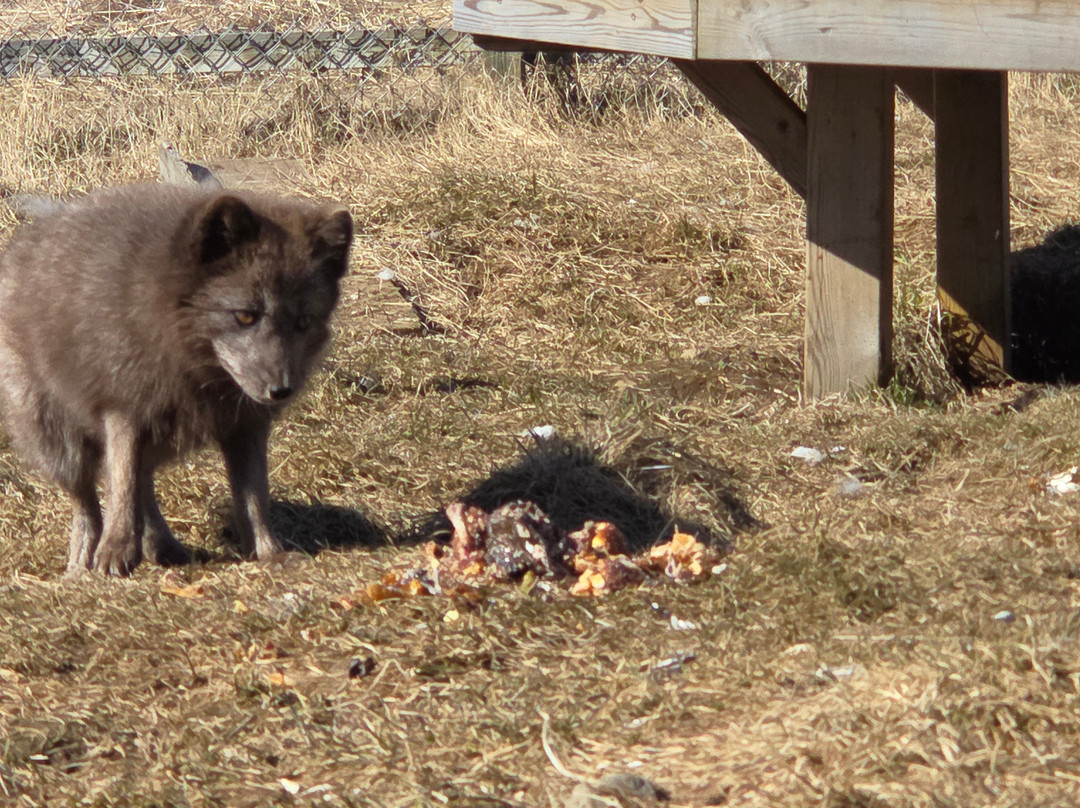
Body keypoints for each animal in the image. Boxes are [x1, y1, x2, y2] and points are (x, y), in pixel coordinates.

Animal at [0, 183, 353, 576]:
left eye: (303, 322)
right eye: (245, 316)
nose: (280, 391)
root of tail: (24, 241)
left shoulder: (246, 426)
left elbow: (254, 498)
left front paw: (270, 553)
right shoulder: (124, 408)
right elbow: (122, 485)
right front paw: (115, 551)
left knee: (143, 487)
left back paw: (161, 547)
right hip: (61, 444)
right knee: (88, 504)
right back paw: (81, 565)